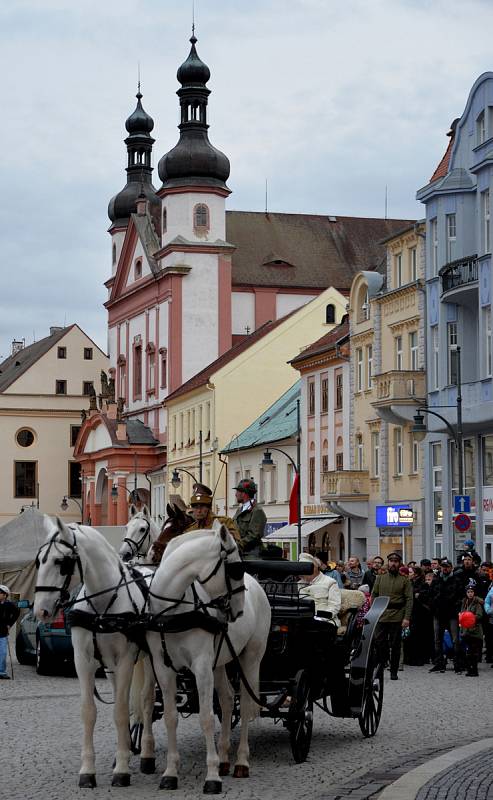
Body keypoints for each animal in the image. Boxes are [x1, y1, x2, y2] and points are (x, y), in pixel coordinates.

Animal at [33, 520, 154, 788]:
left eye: (61, 562)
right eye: (38, 561)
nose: (40, 611)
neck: (102, 606)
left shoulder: (125, 661)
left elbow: (121, 712)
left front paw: (122, 771)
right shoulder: (84, 662)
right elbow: (89, 712)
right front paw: (88, 770)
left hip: (152, 660)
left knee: (146, 701)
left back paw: (147, 755)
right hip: (112, 669)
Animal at [146, 520, 270, 792]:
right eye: (236, 568)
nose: (239, 611)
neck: (173, 611)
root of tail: (258, 586)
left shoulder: (201, 666)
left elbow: (206, 718)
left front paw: (211, 776)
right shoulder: (163, 668)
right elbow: (170, 717)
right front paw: (170, 773)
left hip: (251, 658)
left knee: (245, 705)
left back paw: (241, 762)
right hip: (220, 662)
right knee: (227, 700)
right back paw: (224, 759)